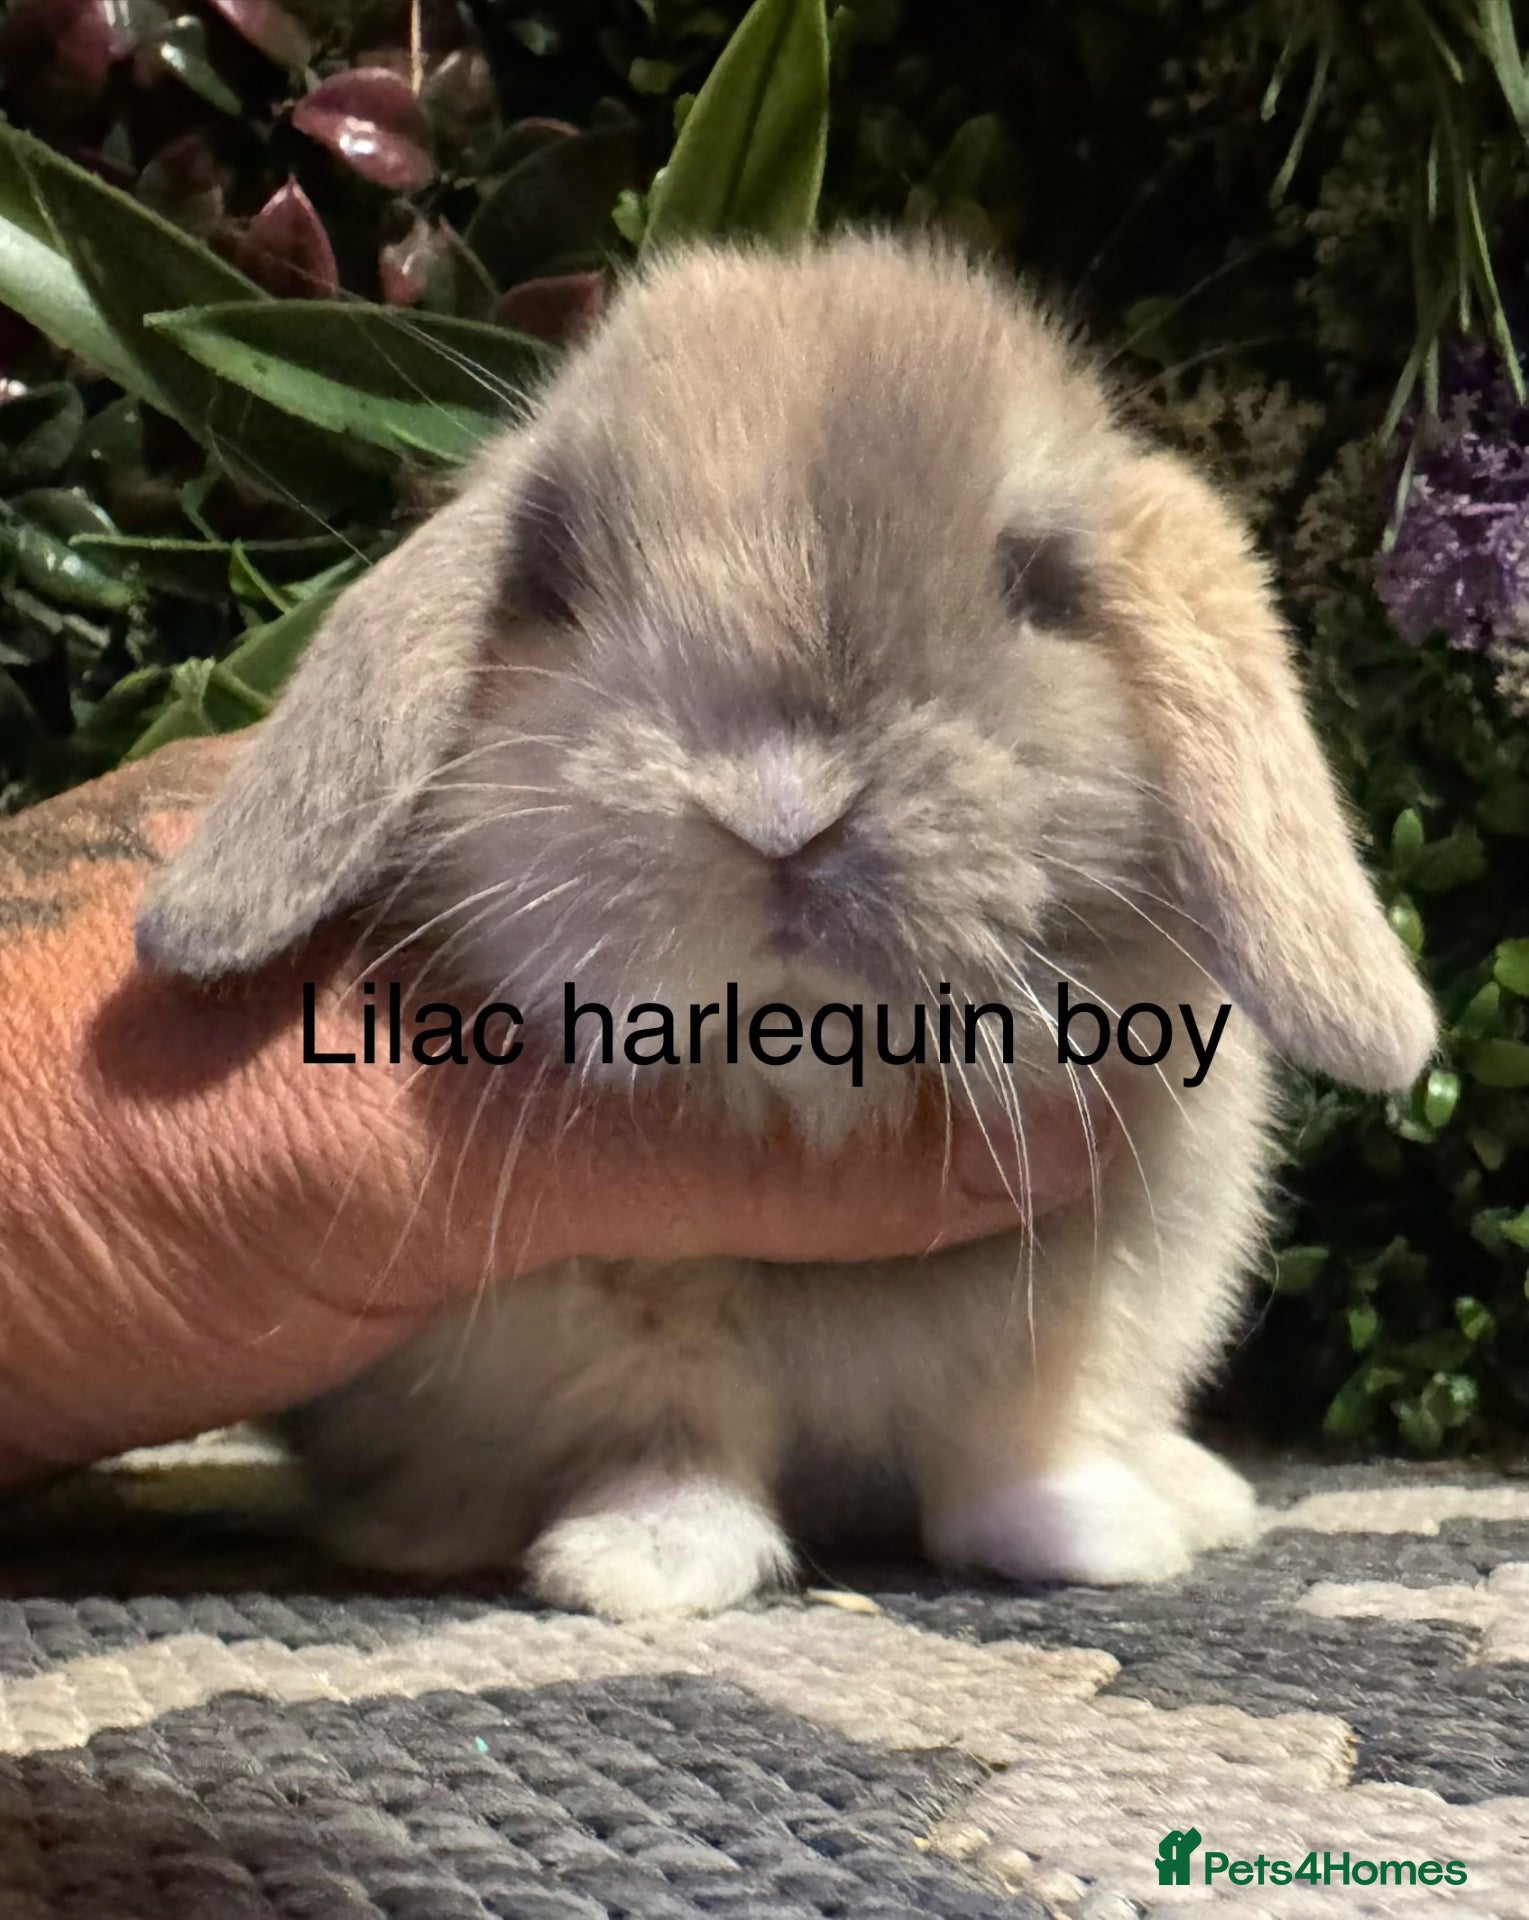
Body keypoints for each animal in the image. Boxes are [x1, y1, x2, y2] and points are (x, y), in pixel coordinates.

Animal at [136, 234, 1436, 1619]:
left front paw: (1097, 1537)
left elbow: (1014, 1448)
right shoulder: (595, 1336)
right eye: (555, 580)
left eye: (1037, 583)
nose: (778, 810)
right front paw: (643, 1567)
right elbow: (667, 1434)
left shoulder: (1080, 1316)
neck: (814, 1084)